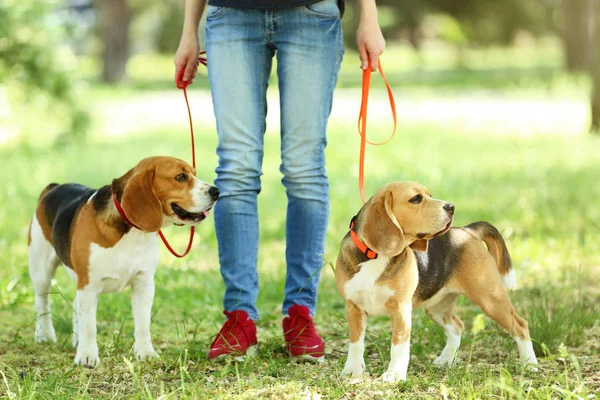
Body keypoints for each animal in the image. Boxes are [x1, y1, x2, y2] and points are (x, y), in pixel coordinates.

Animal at [28, 155, 219, 368]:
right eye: (180, 177)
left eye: (194, 173)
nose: (216, 191)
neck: (132, 232)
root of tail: (54, 186)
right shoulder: (89, 285)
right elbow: (90, 326)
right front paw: (87, 356)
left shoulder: (143, 284)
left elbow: (143, 323)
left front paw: (145, 352)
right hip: (42, 269)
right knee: (43, 303)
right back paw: (44, 335)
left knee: (76, 305)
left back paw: (76, 340)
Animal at [336, 183, 536, 382]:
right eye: (416, 199)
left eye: (429, 195)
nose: (451, 207)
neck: (375, 256)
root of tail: (467, 230)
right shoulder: (353, 307)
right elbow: (355, 343)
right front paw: (352, 370)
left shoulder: (401, 308)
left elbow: (398, 345)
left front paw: (394, 374)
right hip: (437, 306)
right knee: (457, 327)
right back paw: (445, 360)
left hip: (490, 298)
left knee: (520, 325)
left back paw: (530, 364)